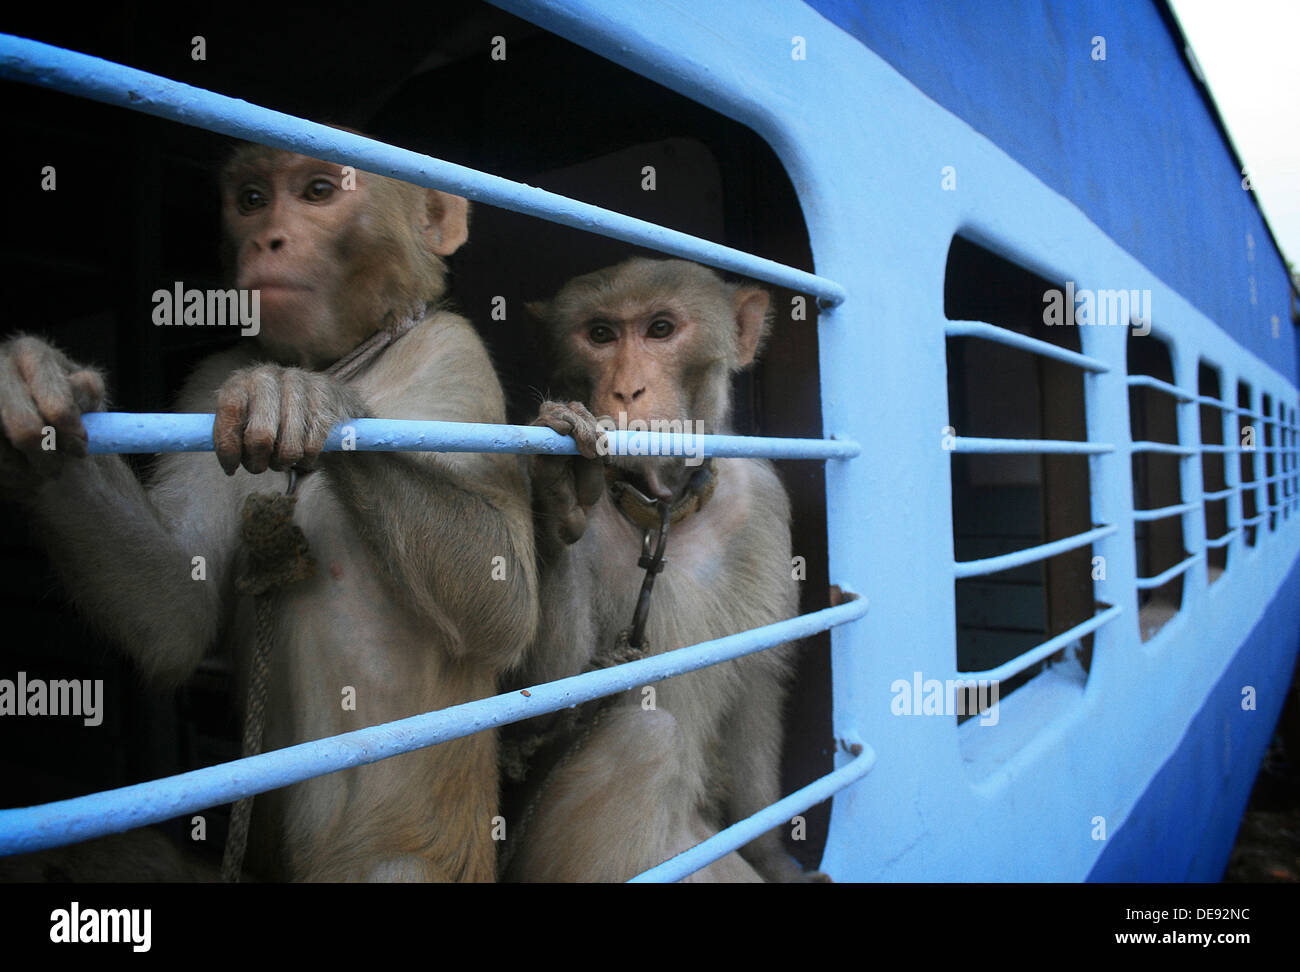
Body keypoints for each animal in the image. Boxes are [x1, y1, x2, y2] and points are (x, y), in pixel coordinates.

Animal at [0, 144, 538, 878]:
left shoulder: (453, 355)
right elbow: (176, 615)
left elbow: (505, 604)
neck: (346, 355)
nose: (267, 240)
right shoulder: (208, 382)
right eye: (252, 201)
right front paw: (30, 391)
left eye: (317, 192)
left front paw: (300, 395)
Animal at [504, 255, 811, 878]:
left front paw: (770, 853)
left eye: (661, 330)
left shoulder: (763, 504)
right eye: (600, 334)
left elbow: (756, 685)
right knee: (644, 739)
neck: (661, 510)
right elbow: (532, 715)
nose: (627, 388)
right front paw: (556, 496)